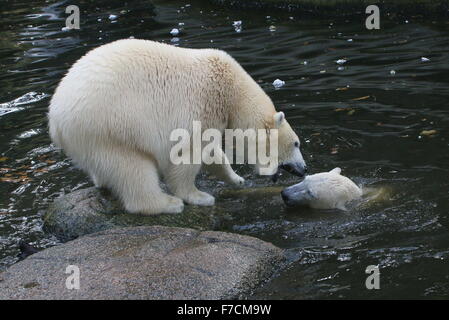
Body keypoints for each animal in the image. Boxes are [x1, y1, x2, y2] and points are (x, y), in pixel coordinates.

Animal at [50, 39, 308, 215]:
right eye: (296, 143)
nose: (304, 168)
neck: (231, 92)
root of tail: (55, 119)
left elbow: (212, 153)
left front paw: (237, 179)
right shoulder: (201, 107)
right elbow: (187, 155)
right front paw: (200, 197)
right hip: (110, 127)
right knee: (132, 168)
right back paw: (167, 204)